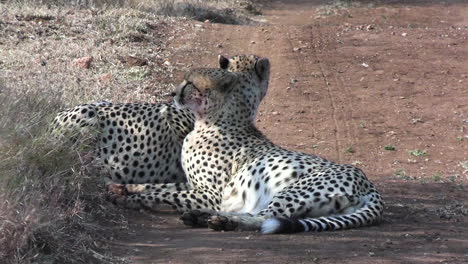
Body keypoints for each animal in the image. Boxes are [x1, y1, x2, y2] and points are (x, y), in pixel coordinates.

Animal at [110, 57, 384, 233]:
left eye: (191, 84)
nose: (172, 94)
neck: (209, 121)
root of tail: (368, 183)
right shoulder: (194, 184)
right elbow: (161, 185)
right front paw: (124, 187)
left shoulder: (211, 194)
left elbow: (162, 193)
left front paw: (130, 199)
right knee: (255, 214)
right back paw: (202, 217)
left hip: (294, 189)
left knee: (264, 217)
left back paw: (219, 221)